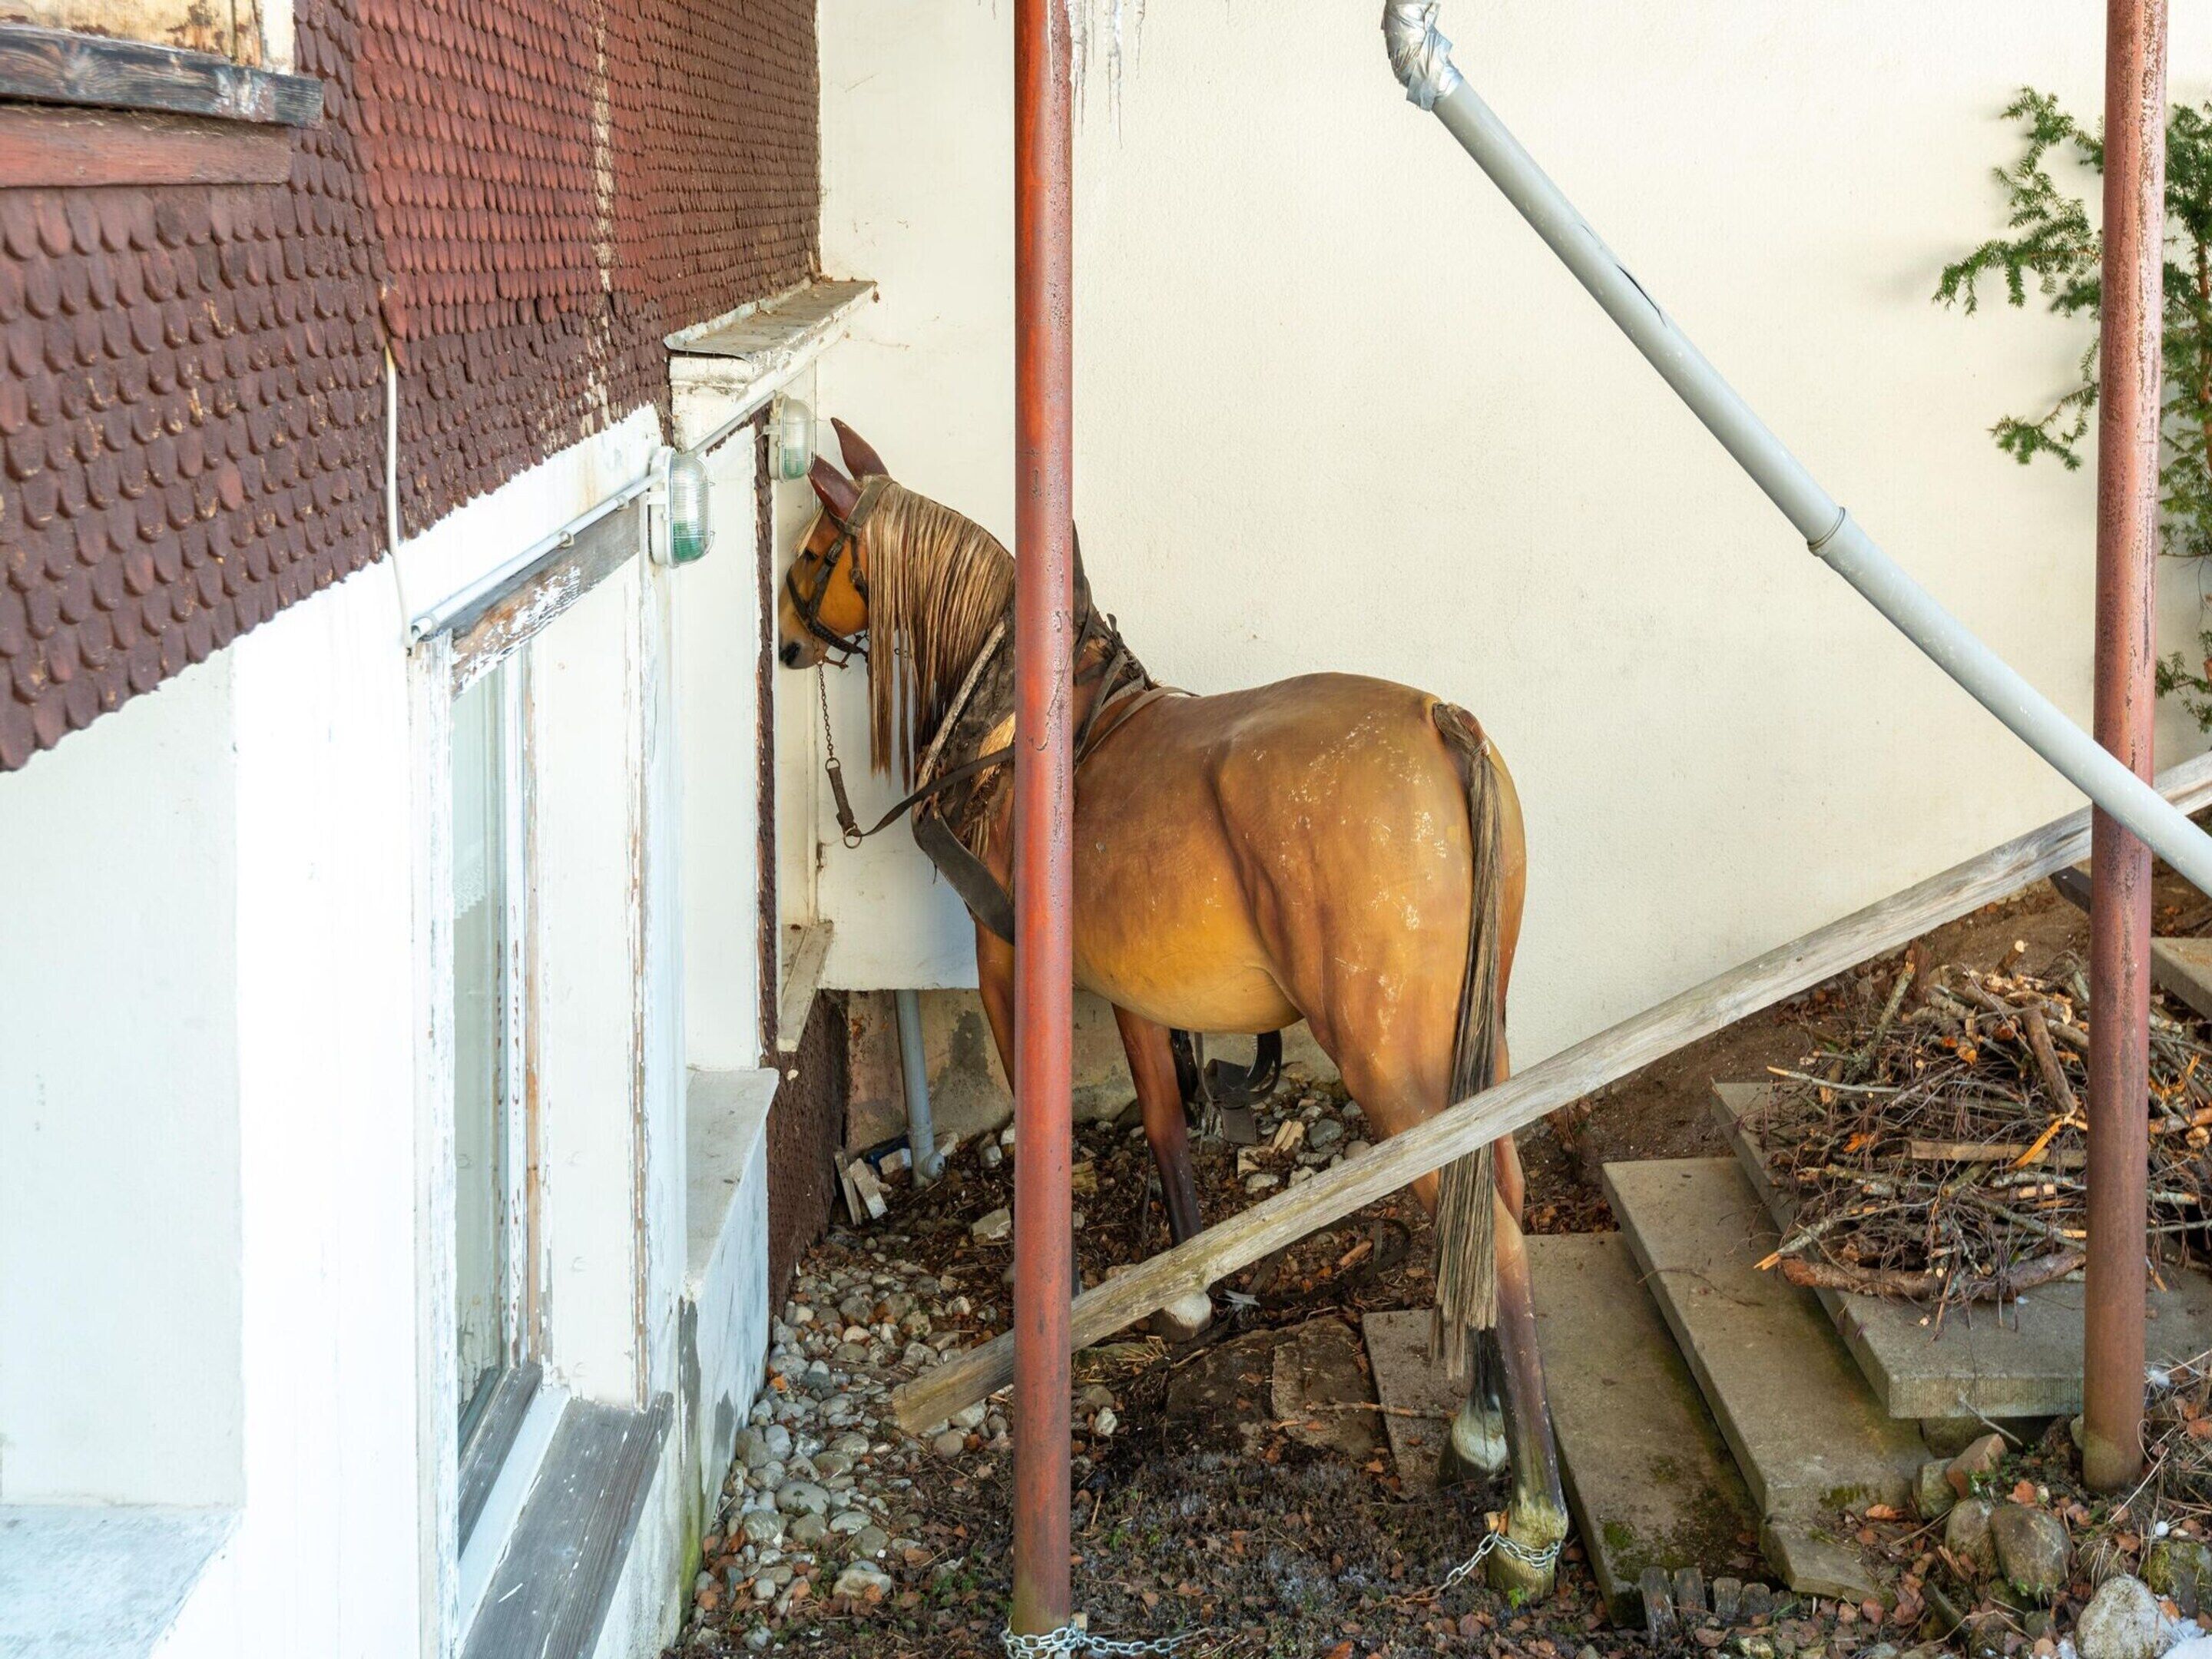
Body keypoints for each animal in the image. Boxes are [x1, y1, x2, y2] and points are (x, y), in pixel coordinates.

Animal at [776, 421, 1567, 1591]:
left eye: (821, 545)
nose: (784, 634)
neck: (1023, 732)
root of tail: (1442, 722)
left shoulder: (1011, 962)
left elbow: (1046, 1132)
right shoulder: (1135, 990)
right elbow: (1159, 1114)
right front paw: (1187, 1287)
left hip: (1389, 1052)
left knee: (1495, 1230)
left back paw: (1530, 1516)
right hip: (1477, 1036)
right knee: (1489, 1188)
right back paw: (1483, 1421)